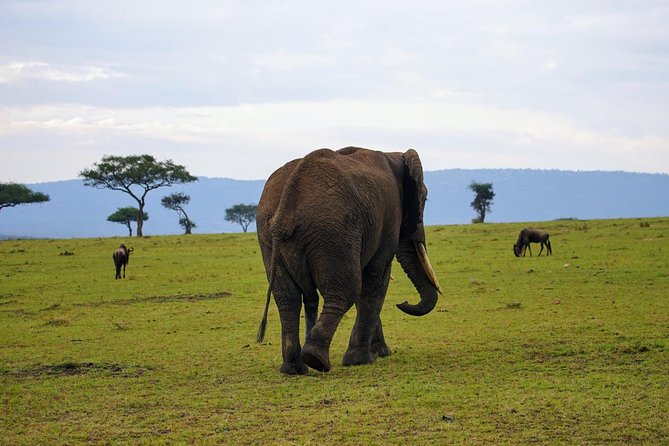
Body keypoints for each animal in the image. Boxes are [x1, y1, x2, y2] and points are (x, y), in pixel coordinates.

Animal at [256, 147, 442, 375]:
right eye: (424, 199)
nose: (403, 302)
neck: (393, 154)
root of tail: (287, 207)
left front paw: (379, 353)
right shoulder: (389, 216)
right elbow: (375, 279)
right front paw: (363, 359)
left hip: (268, 236)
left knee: (288, 298)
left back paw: (294, 369)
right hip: (333, 231)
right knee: (345, 291)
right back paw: (316, 360)